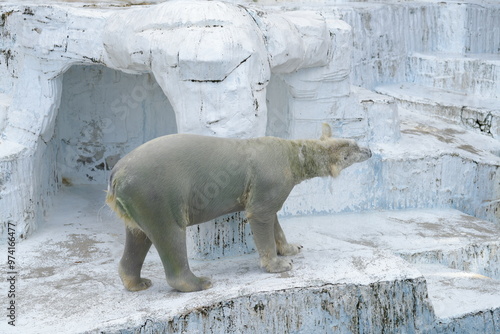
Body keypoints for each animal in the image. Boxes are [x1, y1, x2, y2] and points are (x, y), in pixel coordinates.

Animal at [105, 124, 372, 290]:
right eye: (355, 146)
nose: (370, 150)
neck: (292, 154)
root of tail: (116, 175)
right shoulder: (271, 176)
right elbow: (260, 214)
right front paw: (279, 265)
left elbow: (273, 216)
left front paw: (292, 248)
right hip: (157, 193)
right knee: (169, 233)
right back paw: (199, 282)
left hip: (136, 201)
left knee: (138, 235)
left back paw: (137, 282)